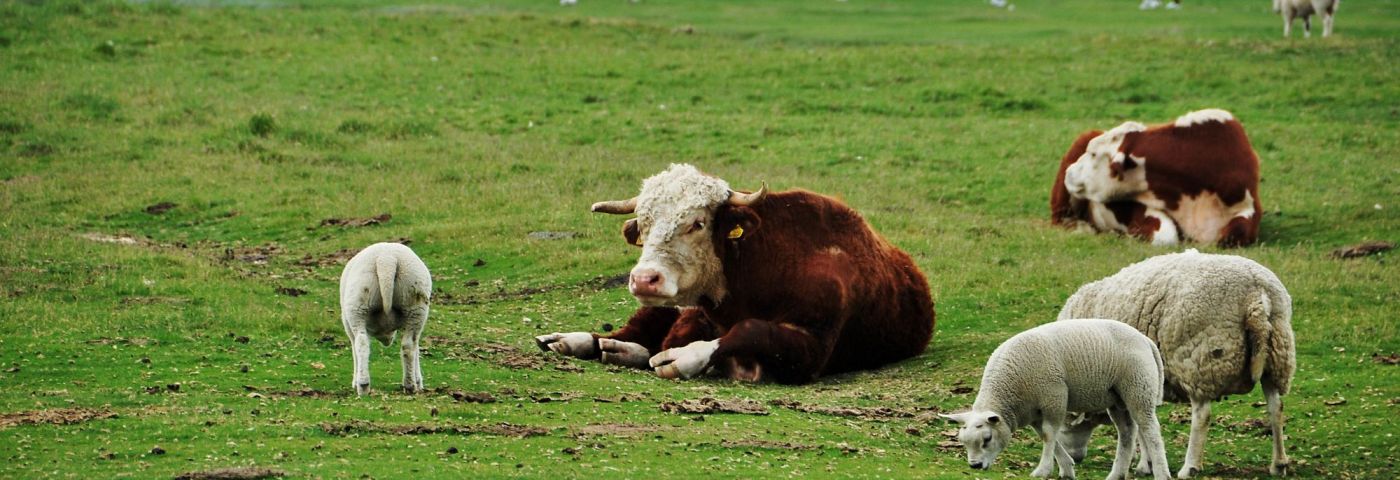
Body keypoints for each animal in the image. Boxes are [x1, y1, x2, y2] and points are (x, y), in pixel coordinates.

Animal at [338, 242, 431, 397]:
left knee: (361, 343)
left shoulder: (347, 323)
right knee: (408, 345)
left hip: (358, 305)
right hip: (415, 305)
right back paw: (408, 385)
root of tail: (386, 259)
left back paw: (363, 385)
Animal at [534, 163, 940, 386]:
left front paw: (684, 357)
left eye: (697, 223)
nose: (645, 279)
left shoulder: (812, 346)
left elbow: (749, 330)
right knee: (635, 330)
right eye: (644, 225)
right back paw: (578, 341)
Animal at [940, 319, 1170, 480]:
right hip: (1116, 399)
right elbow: (1045, 435)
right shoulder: (1033, 411)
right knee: (1127, 433)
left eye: (987, 439)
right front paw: (1067, 468)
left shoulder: (1054, 397)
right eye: (963, 442)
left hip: (1138, 388)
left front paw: (1043, 470)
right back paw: (1116, 474)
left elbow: (1049, 435)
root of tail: (1145, 340)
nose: (975, 466)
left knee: (1150, 430)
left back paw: (1161, 473)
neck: (1010, 388)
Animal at [1052, 250, 1293, 478]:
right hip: (1277, 356)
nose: (1077, 459)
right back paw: (1279, 464)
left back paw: (1190, 467)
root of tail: (1256, 293)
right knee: (1276, 407)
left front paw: (1144, 465)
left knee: (1202, 415)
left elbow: (1142, 425)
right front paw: (1147, 463)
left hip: (1199, 361)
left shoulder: (1134, 378)